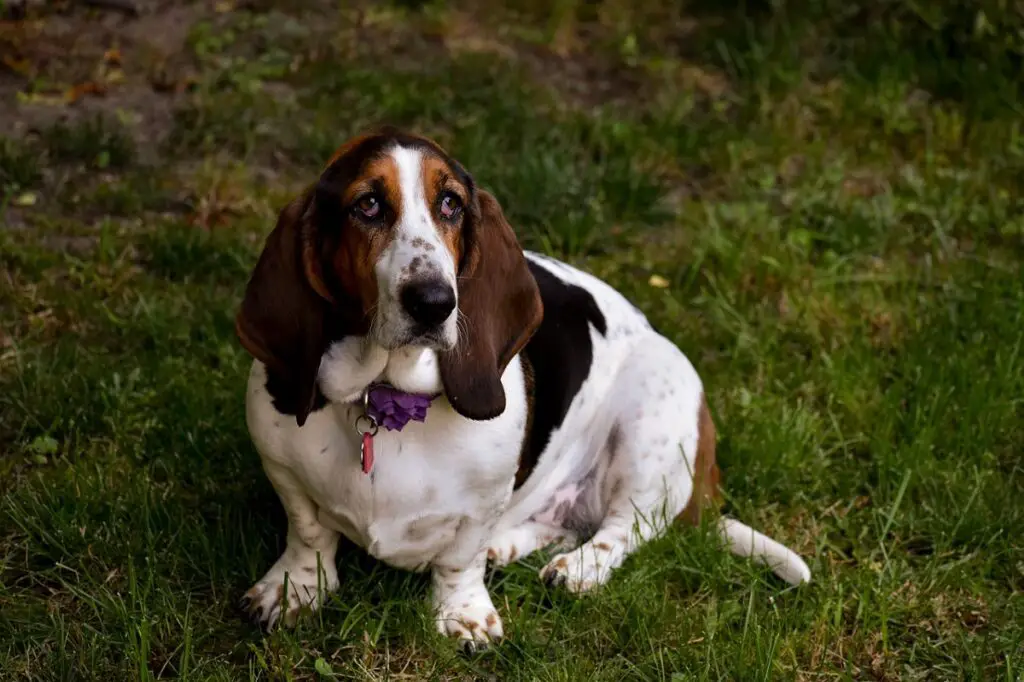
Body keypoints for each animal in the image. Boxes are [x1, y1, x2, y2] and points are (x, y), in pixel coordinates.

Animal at [235, 125, 811, 647]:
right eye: (368, 204)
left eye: (450, 203)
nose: (435, 302)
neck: (386, 399)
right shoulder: (280, 466)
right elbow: (308, 532)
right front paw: (295, 590)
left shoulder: (482, 501)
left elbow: (460, 559)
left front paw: (462, 615)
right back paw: (509, 546)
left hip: (653, 425)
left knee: (626, 528)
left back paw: (578, 569)